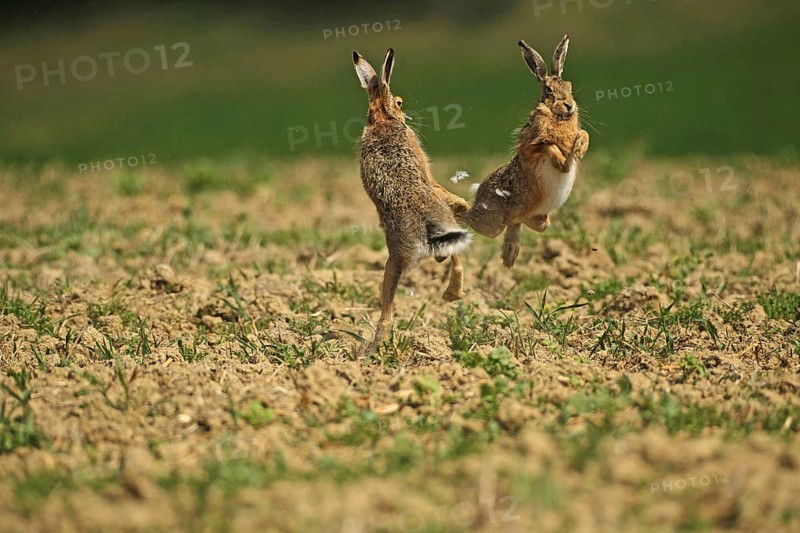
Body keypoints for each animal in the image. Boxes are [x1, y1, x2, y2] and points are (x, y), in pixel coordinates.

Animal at [352, 48, 472, 354]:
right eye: (399, 101)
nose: (404, 113)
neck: (382, 119)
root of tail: (426, 229)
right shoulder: (426, 170)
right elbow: (436, 183)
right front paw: (461, 203)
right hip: (436, 233)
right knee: (453, 259)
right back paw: (453, 293)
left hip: (396, 261)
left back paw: (372, 348)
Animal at [458, 34, 589, 268]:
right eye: (548, 90)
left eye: (570, 86)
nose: (569, 105)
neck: (556, 116)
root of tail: (479, 190)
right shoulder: (529, 147)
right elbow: (547, 145)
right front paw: (559, 160)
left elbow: (582, 135)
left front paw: (579, 149)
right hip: (491, 224)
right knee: (467, 217)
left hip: (539, 220)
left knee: (520, 222)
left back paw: (509, 254)